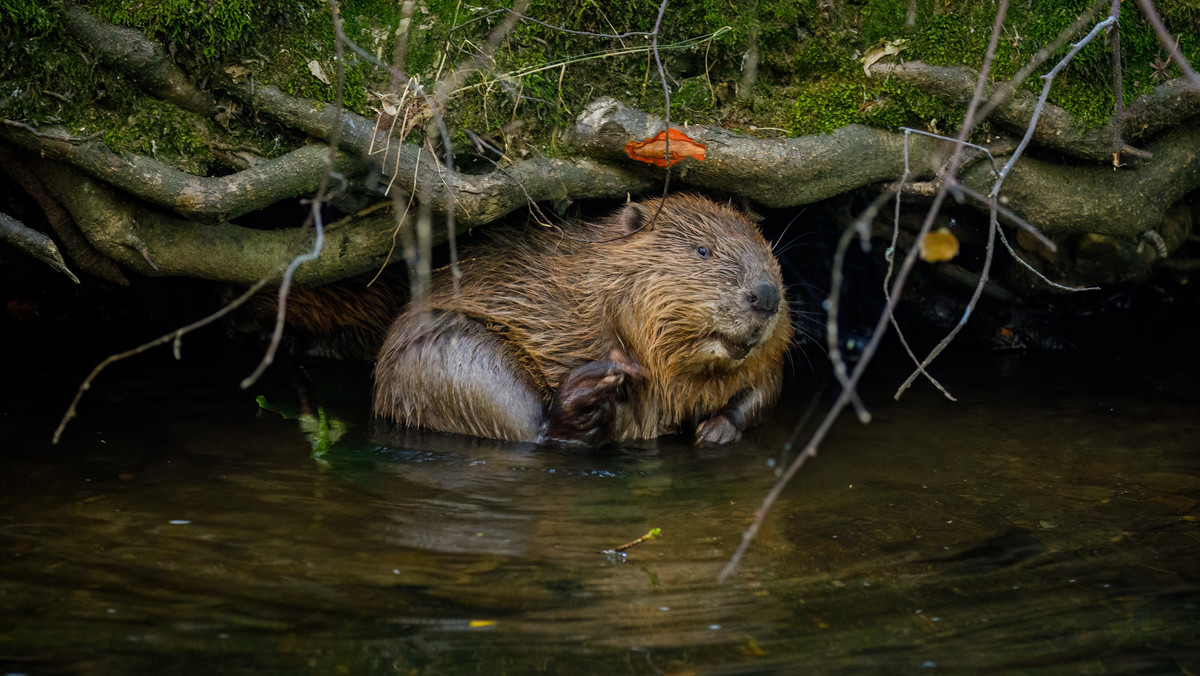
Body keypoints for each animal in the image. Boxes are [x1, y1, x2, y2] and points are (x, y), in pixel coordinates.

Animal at [369, 194, 792, 444]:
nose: (767, 296)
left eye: (767, 248)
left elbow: (765, 390)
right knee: (532, 427)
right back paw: (588, 391)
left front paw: (715, 431)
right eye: (703, 250)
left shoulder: (765, 360)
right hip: (451, 356)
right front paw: (614, 389)